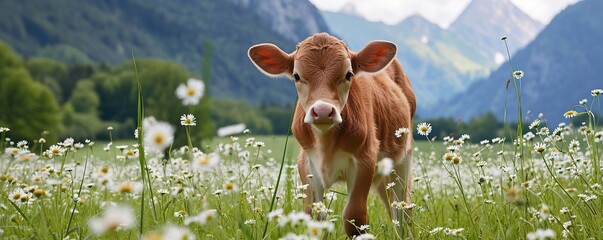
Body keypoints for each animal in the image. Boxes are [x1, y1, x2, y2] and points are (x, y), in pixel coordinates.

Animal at [249, 32, 416, 237]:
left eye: (348, 74)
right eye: (297, 76)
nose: (322, 111)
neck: (326, 144)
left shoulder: (365, 160)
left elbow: (354, 217)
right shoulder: (307, 164)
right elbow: (314, 216)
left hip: (402, 161)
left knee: (402, 209)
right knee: (392, 207)